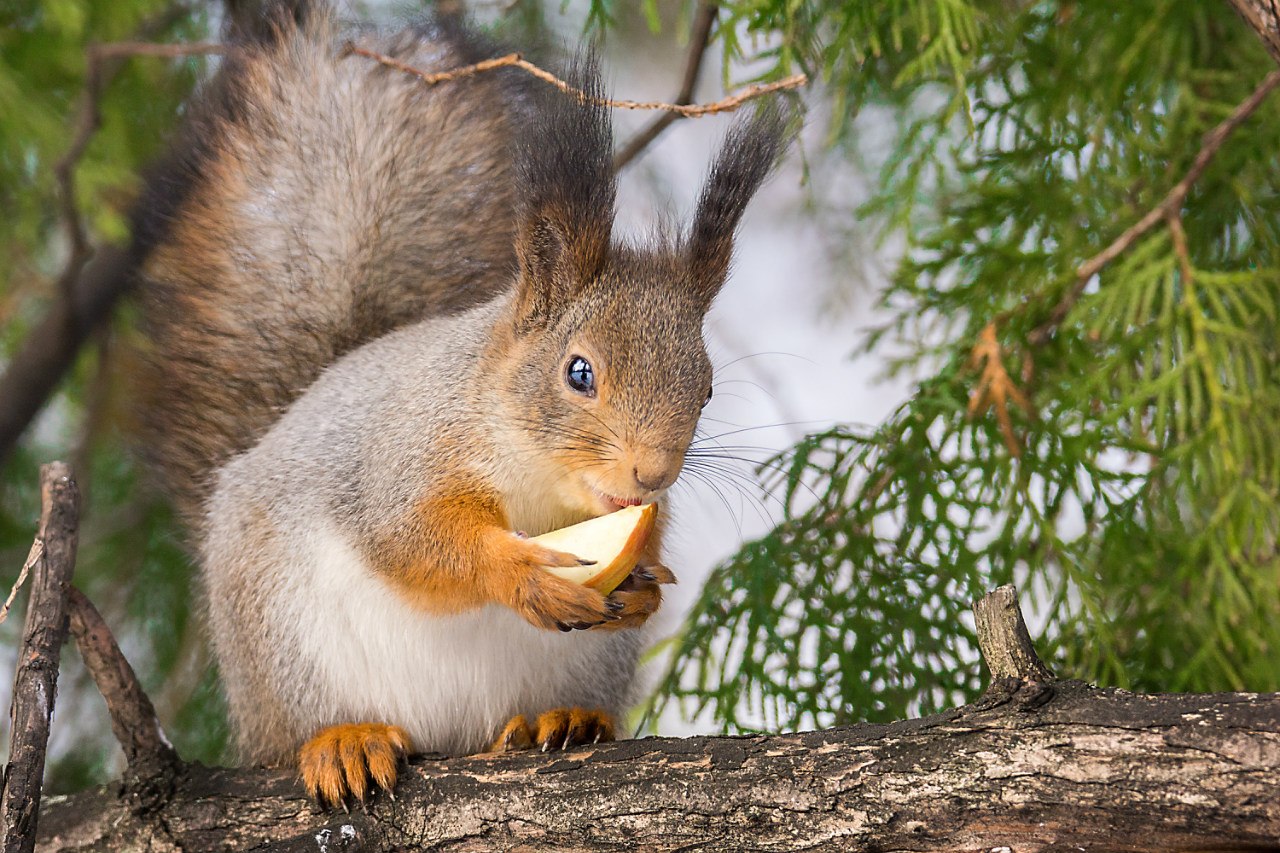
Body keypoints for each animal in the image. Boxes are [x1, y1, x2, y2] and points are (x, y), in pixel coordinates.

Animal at [132, 1, 788, 804]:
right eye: (579, 373)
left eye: (707, 387)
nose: (652, 474)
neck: (538, 475)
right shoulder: (406, 453)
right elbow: (417, 539)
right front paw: (519, 572)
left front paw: (643, 588)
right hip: (282, 643)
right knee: (292, 734)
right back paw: (341, 741)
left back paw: (558, 721)